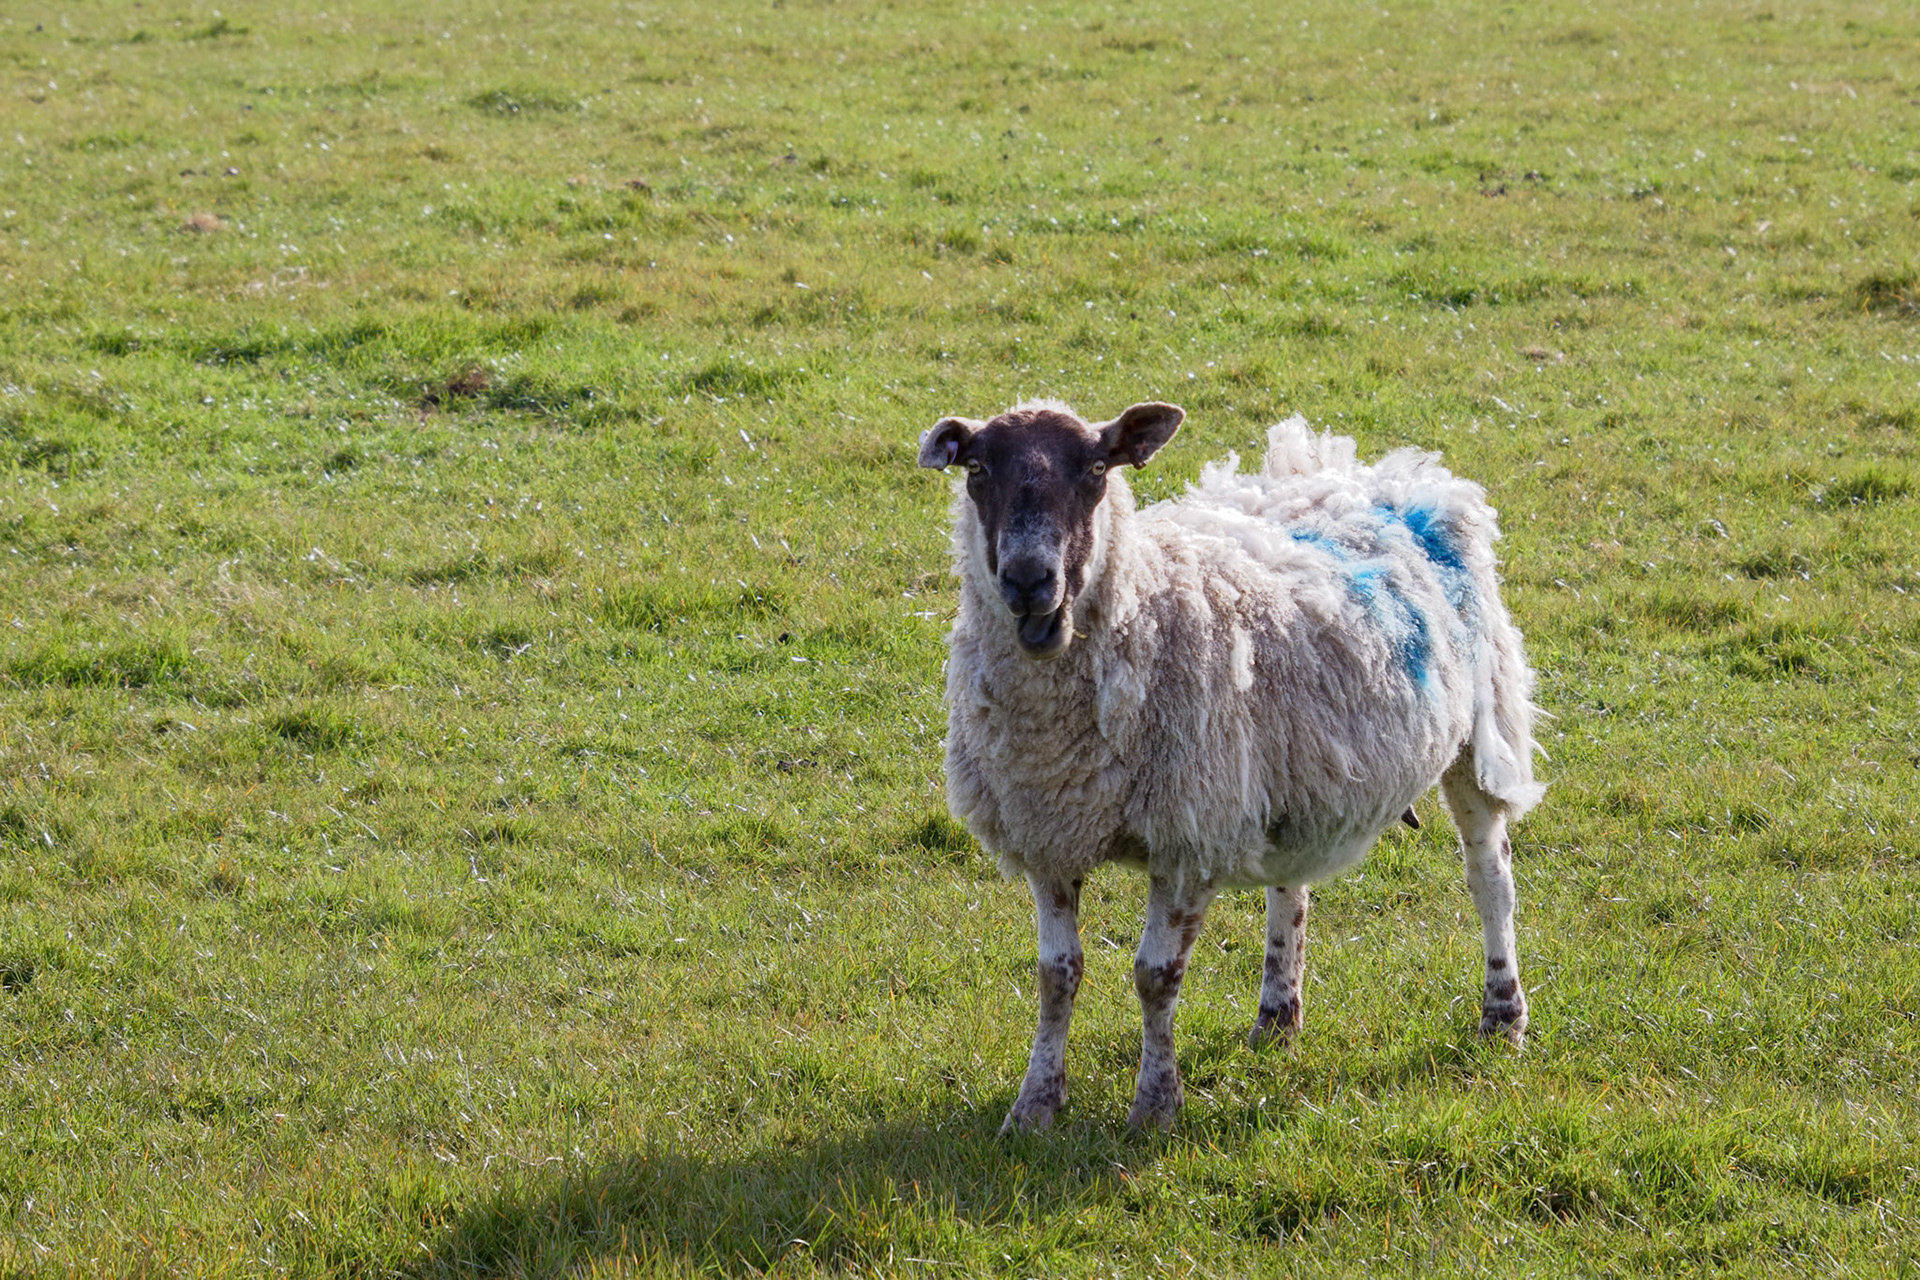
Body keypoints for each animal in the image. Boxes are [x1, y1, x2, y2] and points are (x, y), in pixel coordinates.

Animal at [916, 399, 1544, 1132]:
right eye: (977, 470)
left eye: (1097, 468)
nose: (1027, 581)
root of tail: (1363, 469)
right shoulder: (1046, 831)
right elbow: (1057, 975)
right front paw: (1035, 1106)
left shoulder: (1186, 838)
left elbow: (1155, 977)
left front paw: (1155, 1107)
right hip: (1293, 770)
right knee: (1291, 888)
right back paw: (1276, 1018)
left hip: (1480, 726)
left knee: (1490, 876)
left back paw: (1502, 1016)